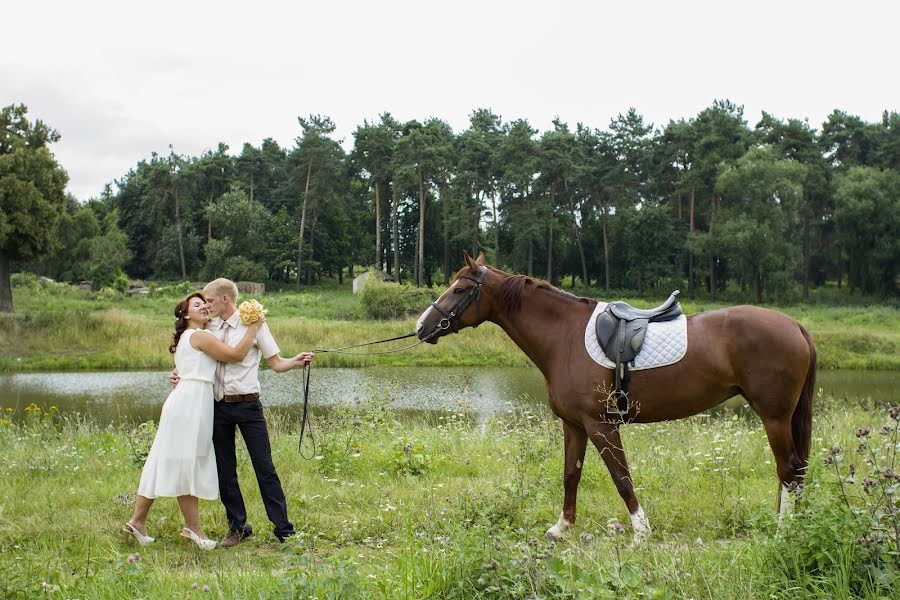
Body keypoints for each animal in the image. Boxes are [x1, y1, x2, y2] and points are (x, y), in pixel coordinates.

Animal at [414, 251, 816, 540]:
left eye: (459, 290)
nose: (421, 327)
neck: (564, 337)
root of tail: (795, 324)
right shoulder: (574, 425)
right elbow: (571, 474)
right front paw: (562, 528)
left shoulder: (600, 425)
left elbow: (621, 477)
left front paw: (641, 532)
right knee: (793, 472)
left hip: (774, 417)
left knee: (789, 469)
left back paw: (783, 531)